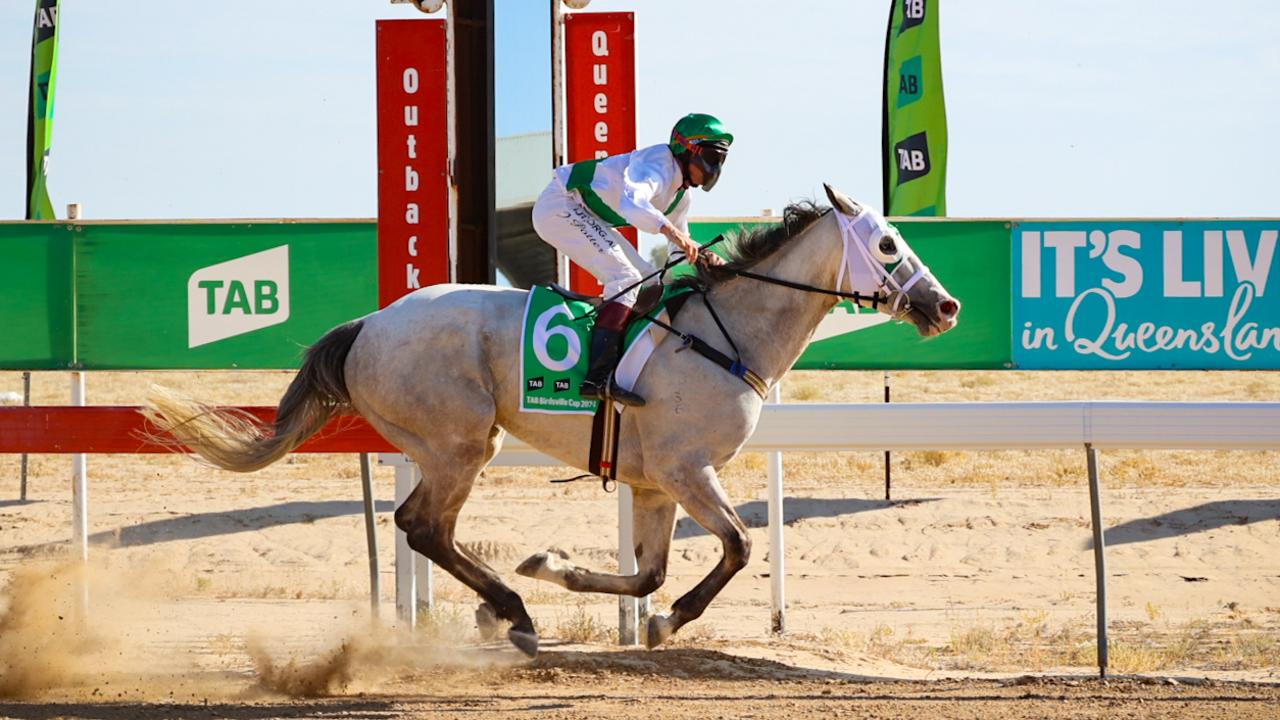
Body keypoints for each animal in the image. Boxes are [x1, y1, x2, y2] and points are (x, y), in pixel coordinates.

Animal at [145, 184, 957, 655]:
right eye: (888, 243)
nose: (945, 305)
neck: (726, 334)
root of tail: (368, 323)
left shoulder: (656, 482)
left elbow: (648, 572)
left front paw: (559, 569)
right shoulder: (687, 470)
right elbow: (738, 547)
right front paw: (665, 620)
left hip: (455, 445)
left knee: (424, 527)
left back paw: (504, 606)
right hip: (459, 443)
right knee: (421, 526)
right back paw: (511, 613)